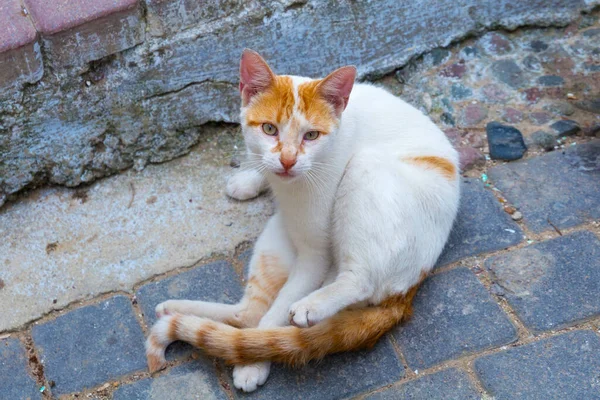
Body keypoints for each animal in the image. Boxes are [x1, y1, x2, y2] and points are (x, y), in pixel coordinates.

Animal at [144, 48, 460, 392]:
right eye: (269, 129)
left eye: (311, 135)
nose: (287, 160)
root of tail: (407, 293)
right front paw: (249, 179)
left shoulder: (316, 256)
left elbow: (276, 316)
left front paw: (253, 359)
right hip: (275, 237)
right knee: (246, 313)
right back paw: (175, 308)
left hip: (365, 170)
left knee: (356, 281)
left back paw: (307, 310)